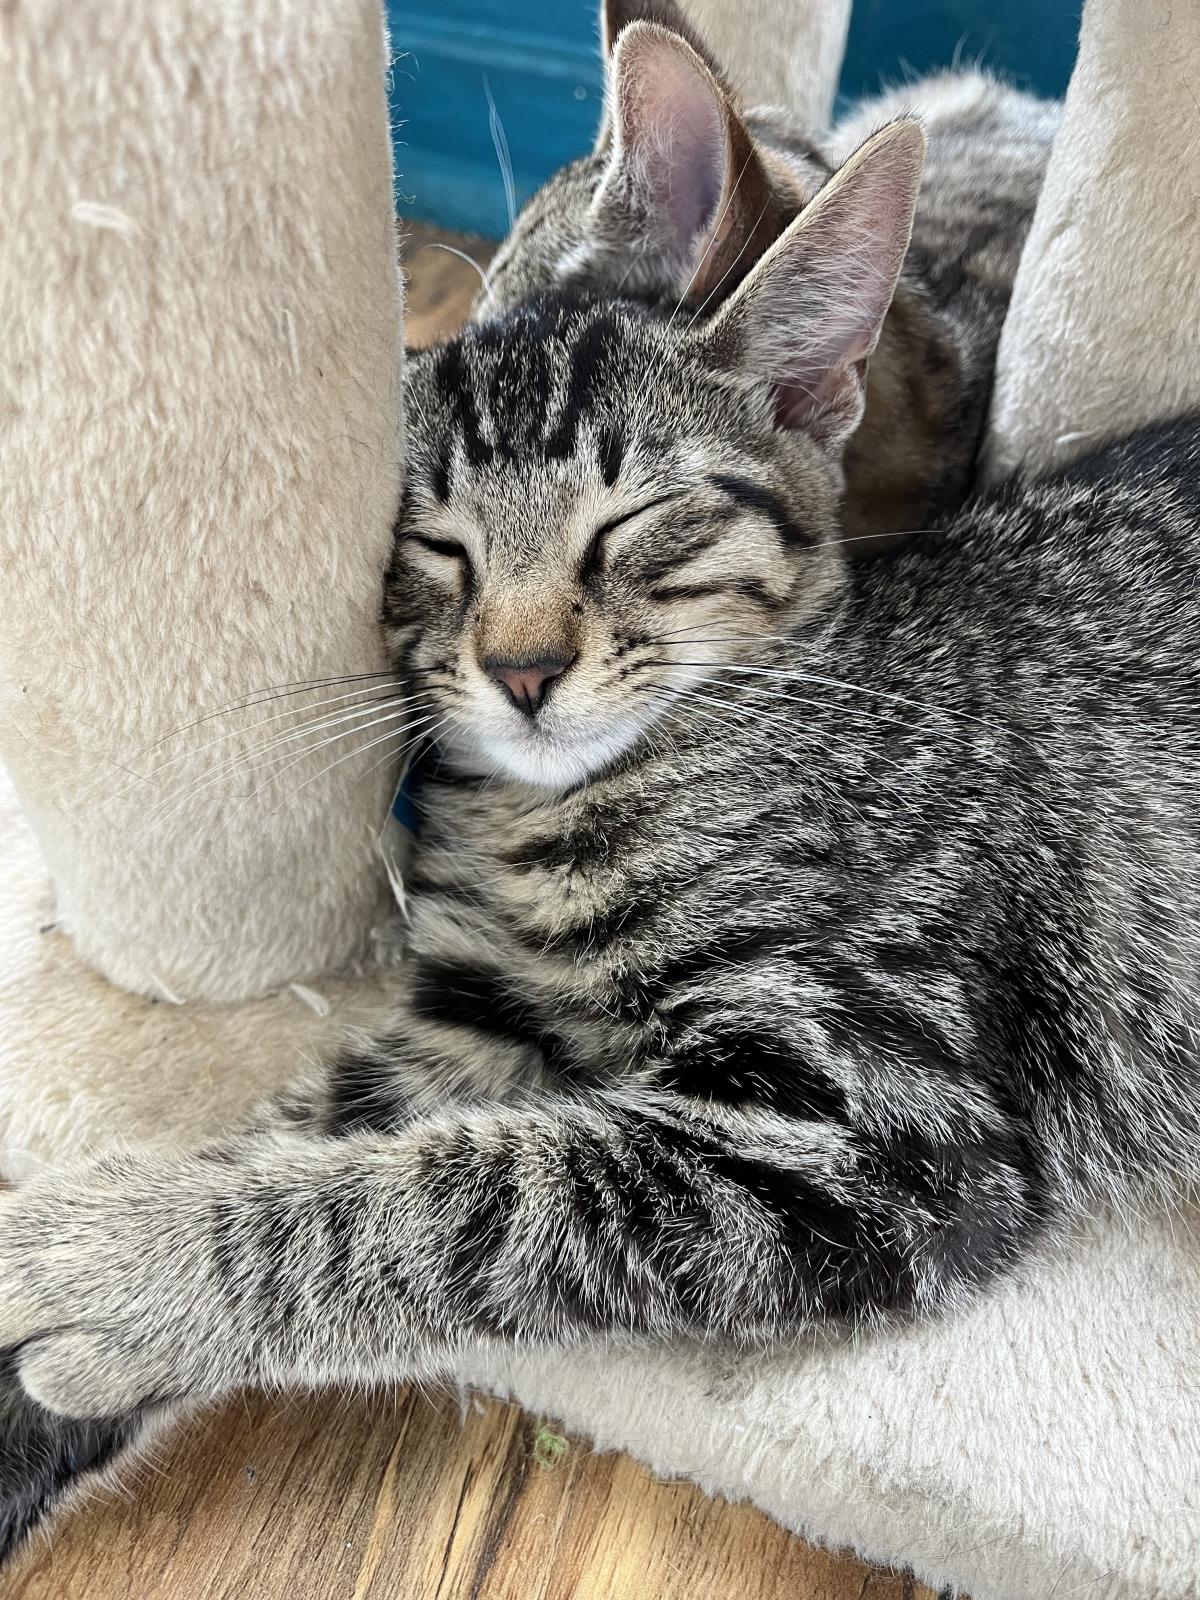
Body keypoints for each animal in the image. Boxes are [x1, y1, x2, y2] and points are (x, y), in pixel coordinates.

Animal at [2, 121, 1200, 1561]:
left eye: (632, 523)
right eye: (435, 545)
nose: (523, 669)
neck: (554, 816)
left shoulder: (881, 1119)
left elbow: (469, 1193)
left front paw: (123, 1259)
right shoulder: (470, 1018)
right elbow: (307, 1130)